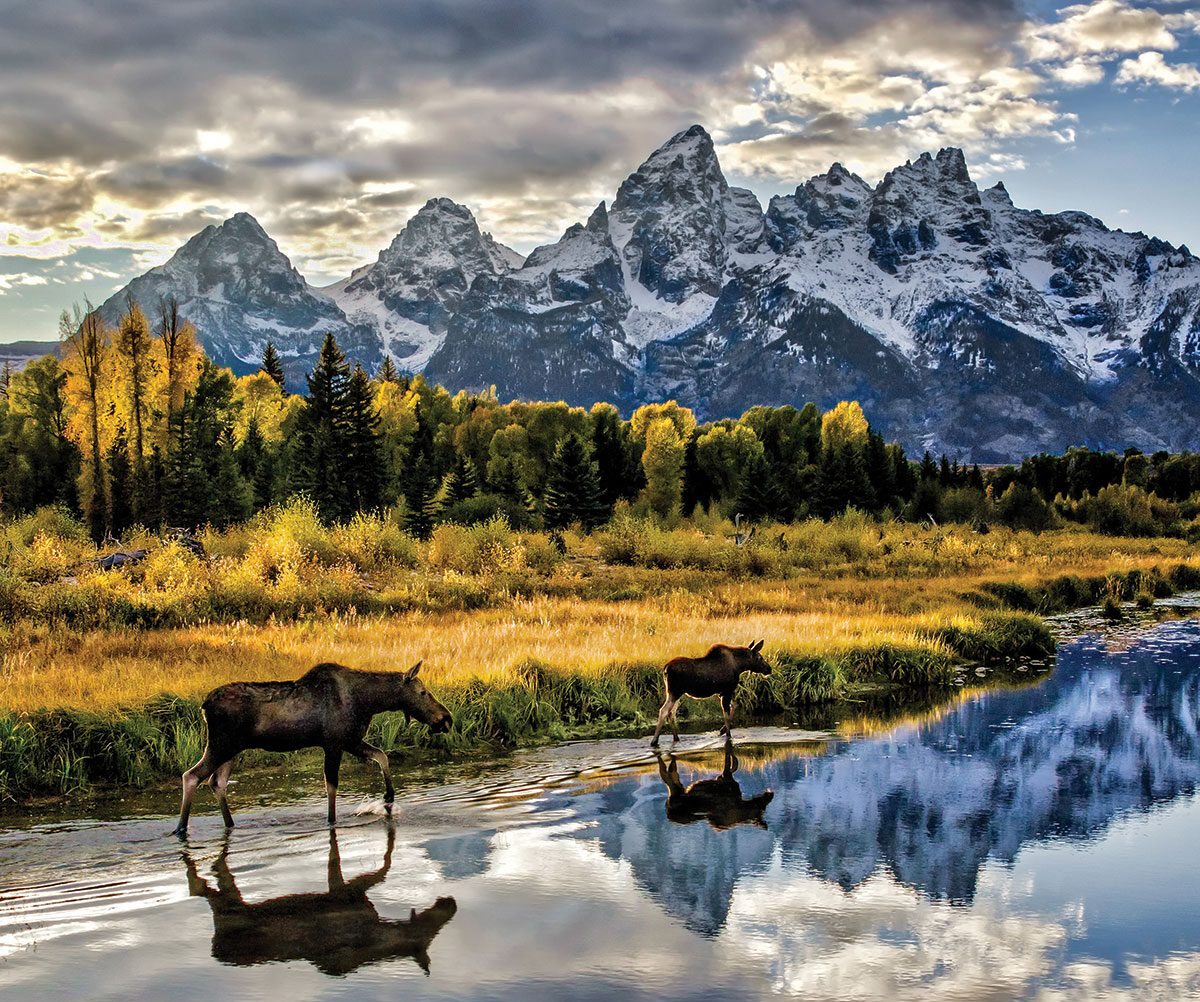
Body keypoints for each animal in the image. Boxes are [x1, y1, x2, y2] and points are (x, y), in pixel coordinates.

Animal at [170, 662, 451, 835]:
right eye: (423, 692)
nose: (446, 718)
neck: (369, 702)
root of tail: (204, 706)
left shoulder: (350, 740)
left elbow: (382, 756)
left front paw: (389, 796)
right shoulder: (335, 743)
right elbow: (332, 785)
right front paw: (331, 821)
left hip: (232, 750)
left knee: (216, 782)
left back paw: (229, 824)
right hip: (221, 745)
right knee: (191, 776)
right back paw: (181, 829)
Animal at [182, 825, 458, 974]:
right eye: (429, 934)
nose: (452, 904)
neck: (380, 933)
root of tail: (216, 949)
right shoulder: (349, 894)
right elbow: (383, 867)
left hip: (232, 902)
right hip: (230, 908)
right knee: (208, 891)